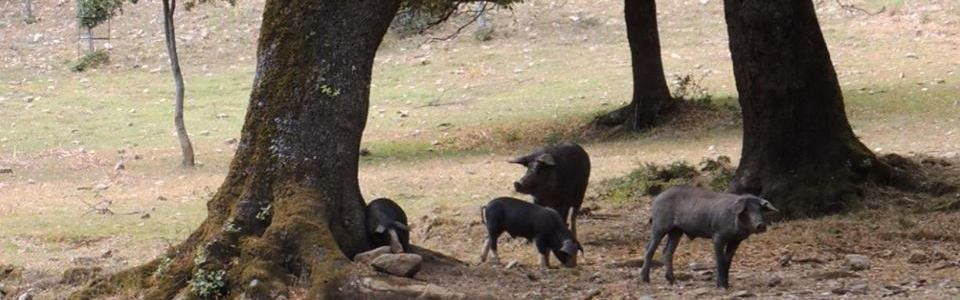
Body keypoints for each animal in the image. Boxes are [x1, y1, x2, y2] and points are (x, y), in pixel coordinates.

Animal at [636, 185, 780, 288]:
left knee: (667, 251)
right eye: (746, 210)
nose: (761, 225)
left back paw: (672, 281)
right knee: (649, 249)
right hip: (659, 225)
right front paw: (722, 287)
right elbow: (720, 260)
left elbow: (728, 261)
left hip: (677, 231)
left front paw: (726, 285)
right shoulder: (718, 237)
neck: (736, 228)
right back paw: (645, 280)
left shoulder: (735, 241)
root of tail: (657, 198)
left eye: (760, 210)